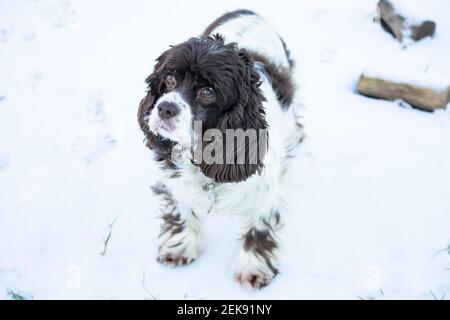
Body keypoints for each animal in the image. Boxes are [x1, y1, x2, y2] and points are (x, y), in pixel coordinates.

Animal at [138, 10, 302, 290]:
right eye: (169, 79)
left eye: (207, 92)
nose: (164, 108)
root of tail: (248, 11)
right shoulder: (174, 173)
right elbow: (180, 204)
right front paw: (181, 245)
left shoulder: (268, 183)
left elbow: (262, 221)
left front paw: (253, 265)